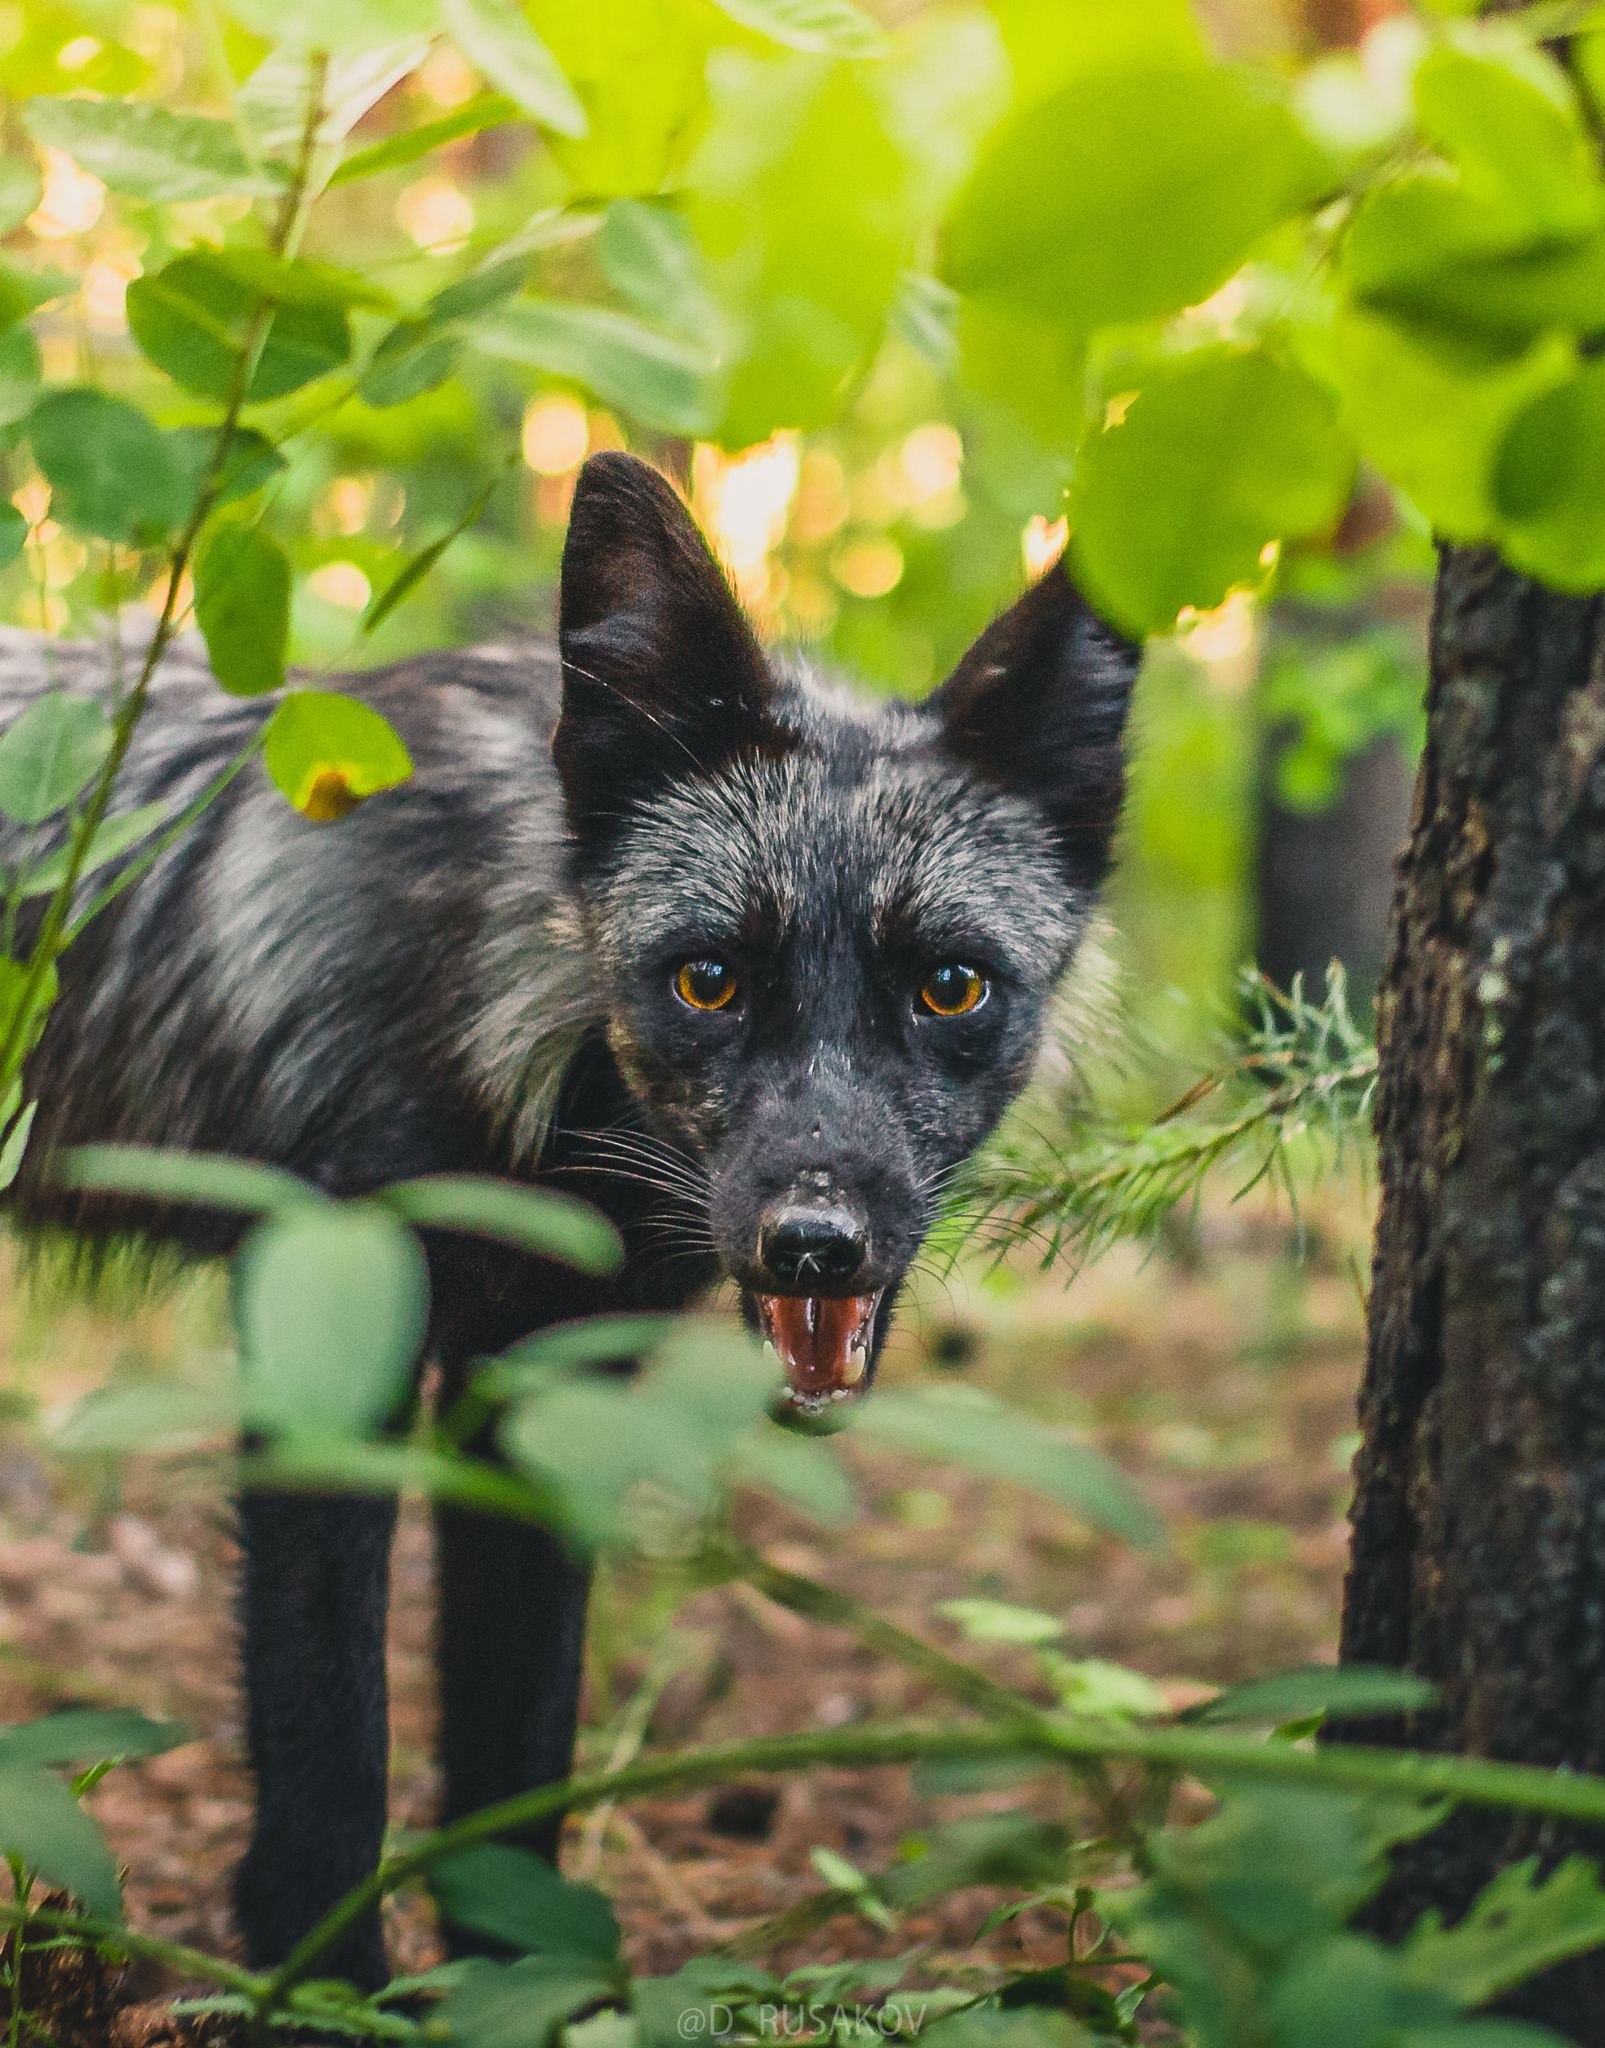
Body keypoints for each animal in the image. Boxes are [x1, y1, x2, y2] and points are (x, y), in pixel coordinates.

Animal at [0, 452, 1138, 1982]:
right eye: (709, 978)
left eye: (948, 986)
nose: (812, 1241)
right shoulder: (324, 1344)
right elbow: (331, 1743)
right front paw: (326, 1983)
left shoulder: (542, 1377)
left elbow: (517, 1741)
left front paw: (510, 1979)